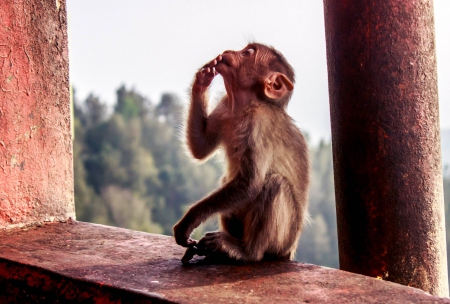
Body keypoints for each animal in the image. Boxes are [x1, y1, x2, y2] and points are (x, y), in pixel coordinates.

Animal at [173, 42, 310, 264]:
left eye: (247, 53)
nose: (228, 51)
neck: (245, 105)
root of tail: (290, 250)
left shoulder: (259, 122)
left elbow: (251, 182)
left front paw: (190, 219)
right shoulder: (224, 104)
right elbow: (201, 148)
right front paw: (202, 79)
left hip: (284, 240)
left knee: (275, 184)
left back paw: (247, 251)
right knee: (228, 180)